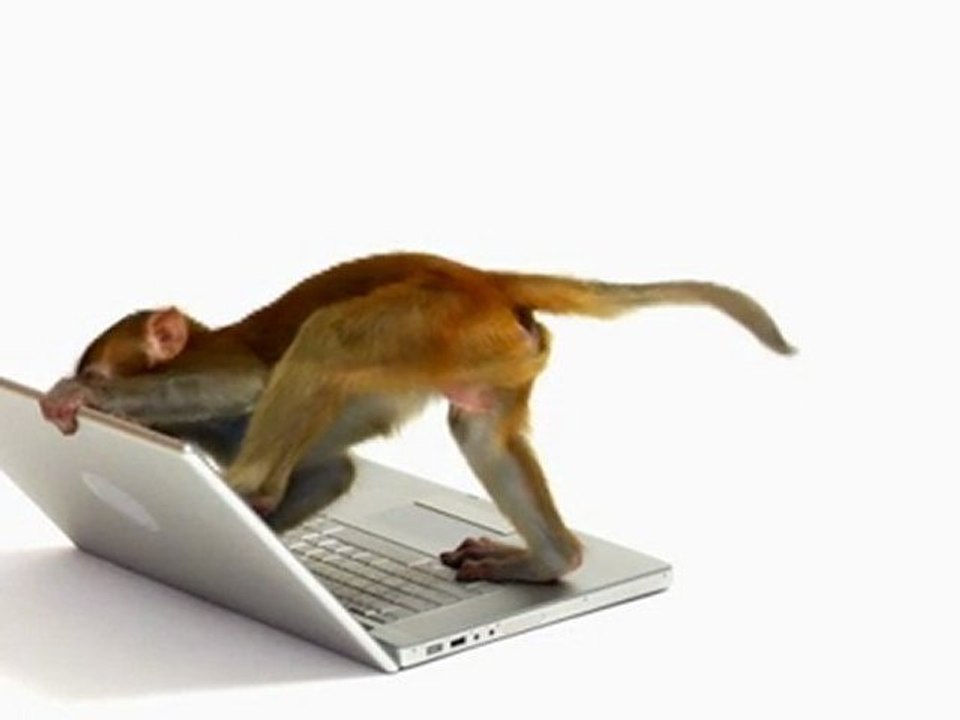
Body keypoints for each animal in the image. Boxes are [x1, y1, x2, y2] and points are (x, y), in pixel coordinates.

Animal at [40, 252, 793, 583]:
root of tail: (481, 279)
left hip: (434, 318)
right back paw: (553, 559)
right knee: (481, 430)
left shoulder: (222, 371)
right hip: (493, 347)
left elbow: (253, 380)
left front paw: (84, 399)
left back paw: (248, 487)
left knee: (330, 336)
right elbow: (333, 473)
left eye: (101, 371)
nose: (94, 383)